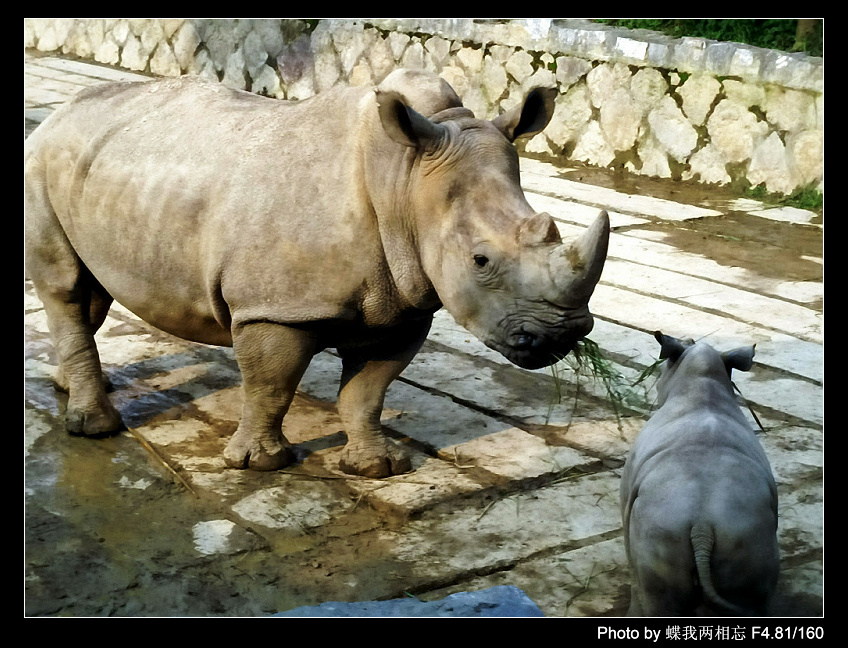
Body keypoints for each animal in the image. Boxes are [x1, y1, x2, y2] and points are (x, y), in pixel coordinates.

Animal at [24, 69, 610, 478]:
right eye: (480, 261)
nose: (563, 336)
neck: (403, 179)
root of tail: (58, 113)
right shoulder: (277, 307)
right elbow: (271, 384)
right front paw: (261, 465)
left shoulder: (403, 304)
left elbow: (368, 392)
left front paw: (377, 468)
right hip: (41, 160)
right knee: (66, 287)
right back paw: (96, 429)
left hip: (101, 171)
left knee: (91, 293)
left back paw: (70, 387)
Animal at [620, 332, 779, 616]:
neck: (698, 380)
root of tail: (702, 525)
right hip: (747, 538)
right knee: (751, 594)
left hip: (660, 532)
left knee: (655, 600)